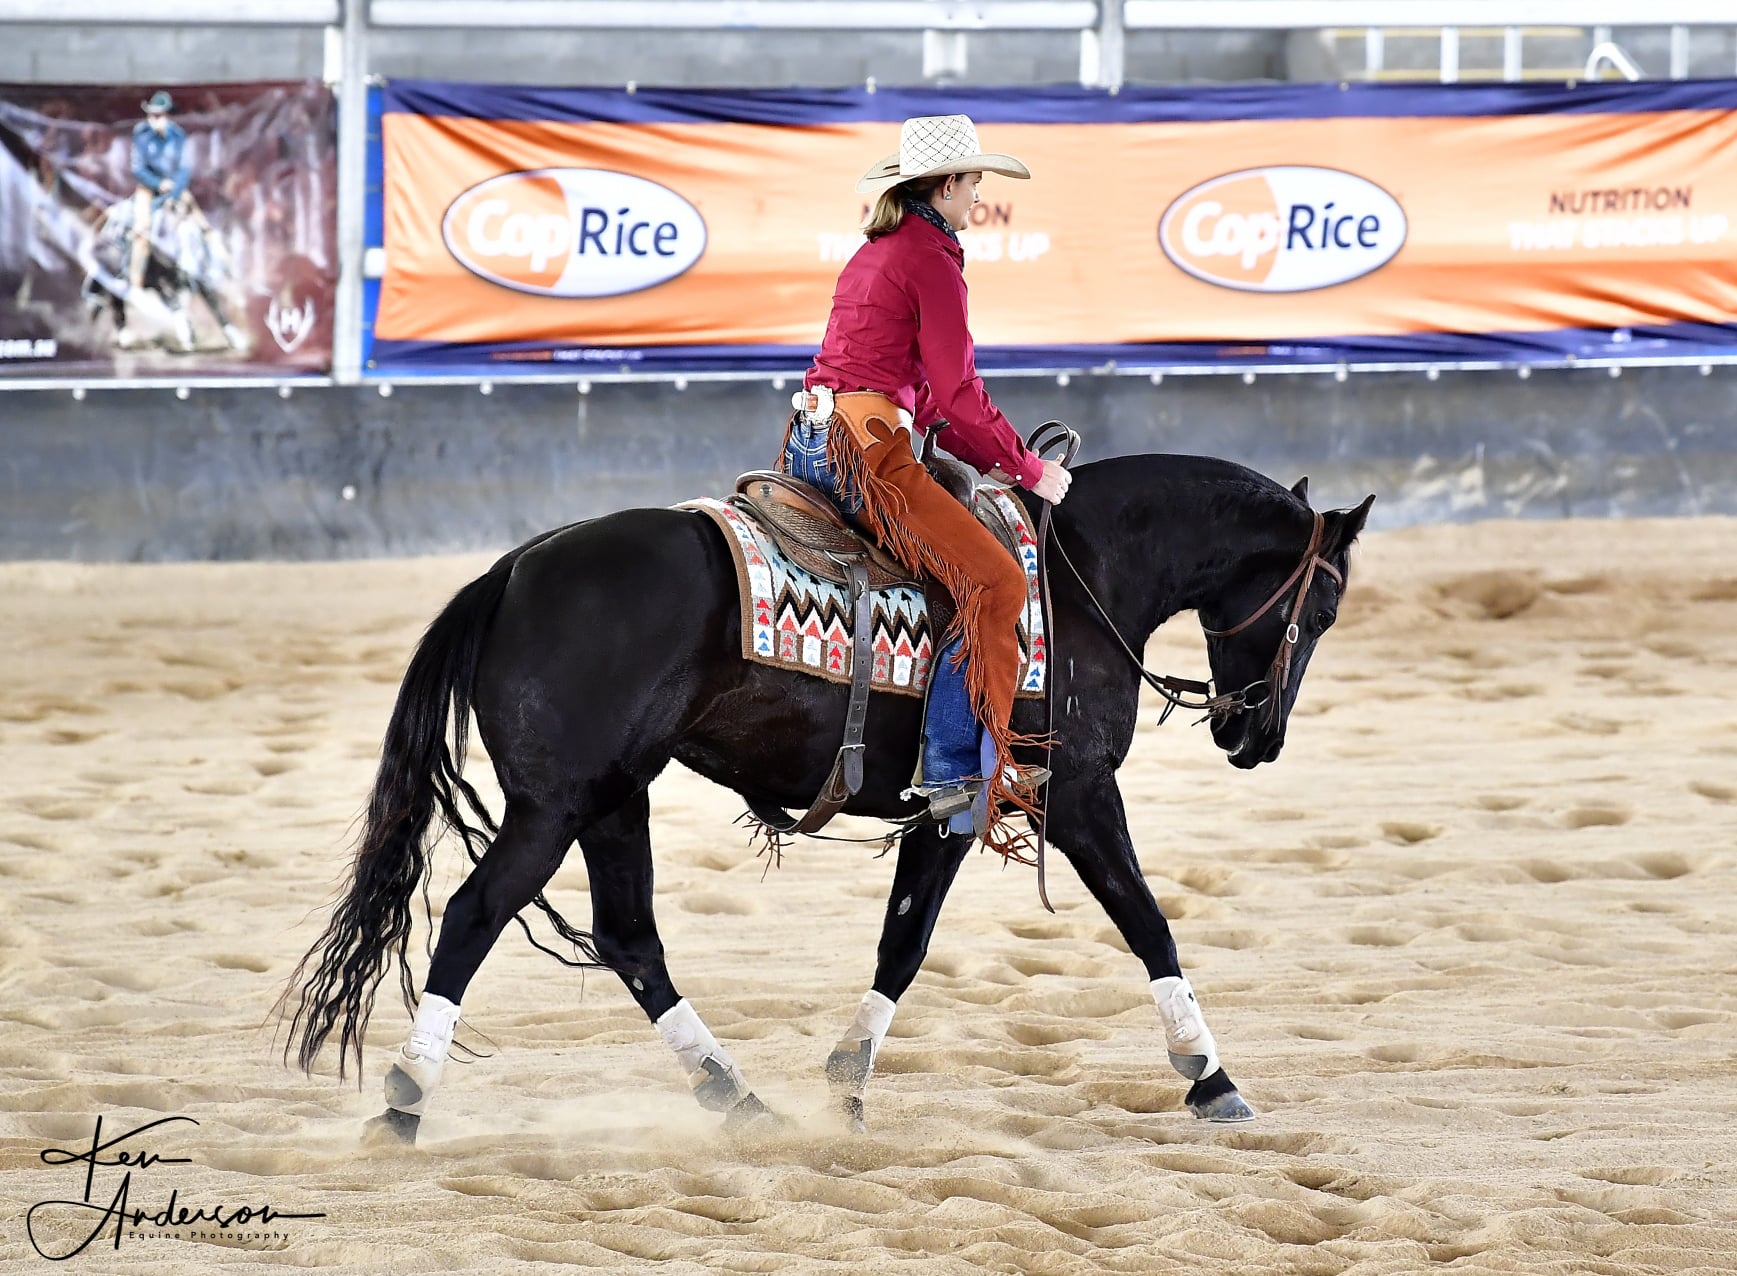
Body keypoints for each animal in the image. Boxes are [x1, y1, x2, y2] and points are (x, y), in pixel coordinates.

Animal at [283, 451, 1374, 1143]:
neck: (1081, 581)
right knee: (475, 915)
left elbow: (903, 942)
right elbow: (1148, 922)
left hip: (612, 800)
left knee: (633, 941)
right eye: (1322, 606)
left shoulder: (951, 808)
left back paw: (736, 1096)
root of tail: (512, 570)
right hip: (555, 809)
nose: (1253, 737)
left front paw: (846, 1083)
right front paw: (1211, 1077)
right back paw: (404, 1099)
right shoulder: (1080, 794)